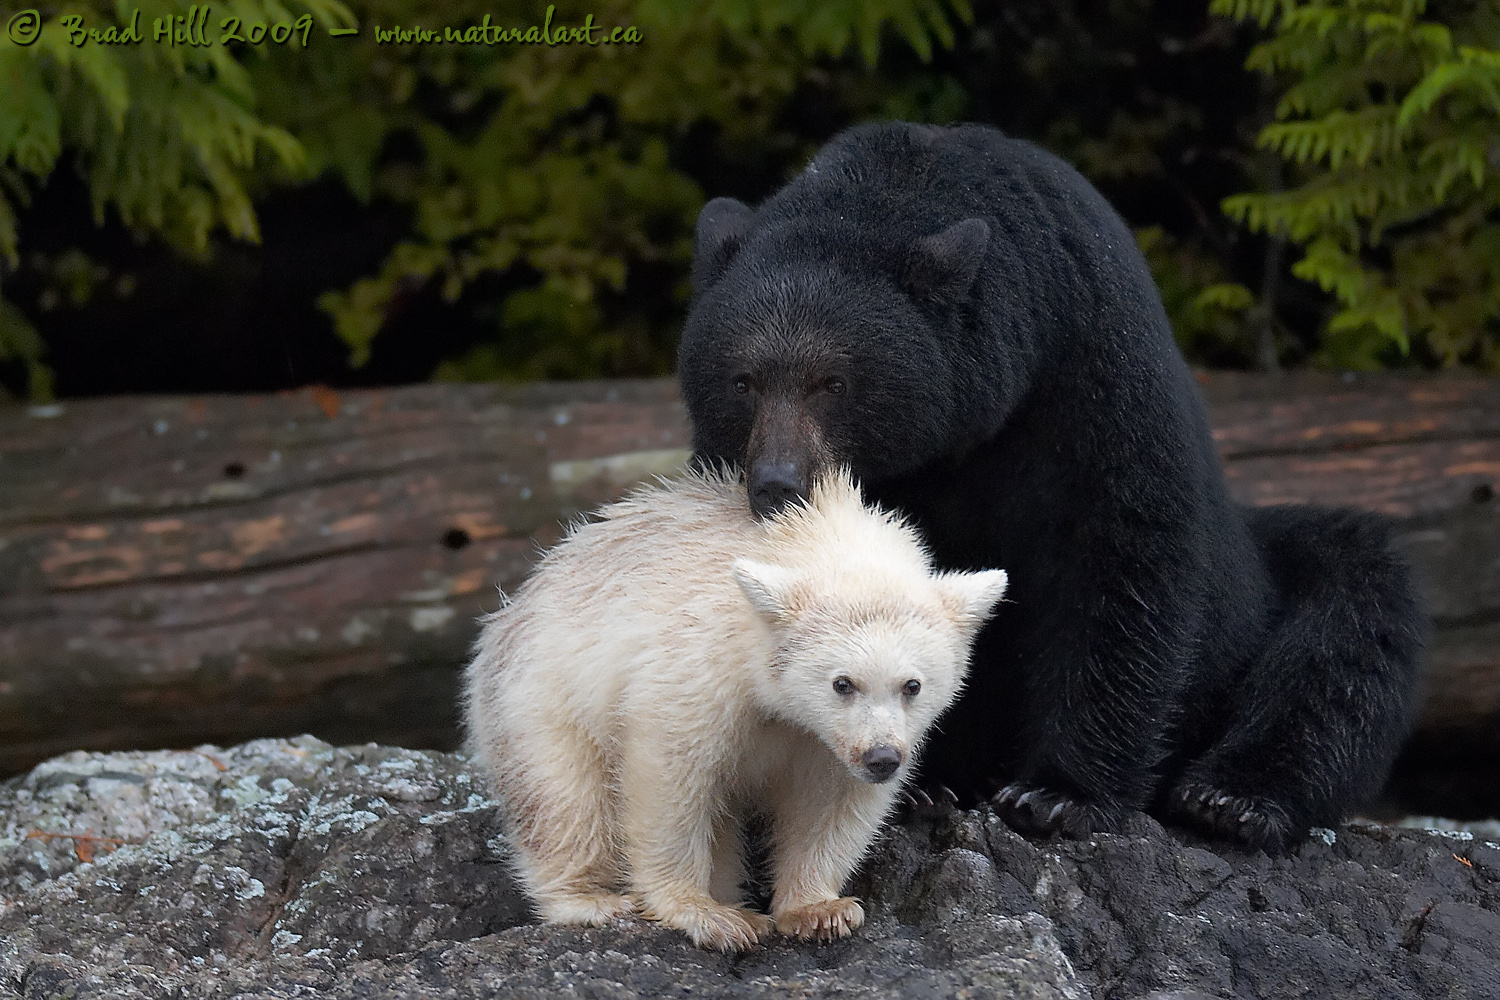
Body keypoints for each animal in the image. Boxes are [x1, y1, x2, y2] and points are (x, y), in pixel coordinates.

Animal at [675, 117, 1422, 851]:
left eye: (834, 382)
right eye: (742, 381)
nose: (779, 484)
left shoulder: (1092, 375)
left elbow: (1122, 559)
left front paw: (1059, 794)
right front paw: (915, 784)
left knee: (1348, 632)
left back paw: (1232, 796)